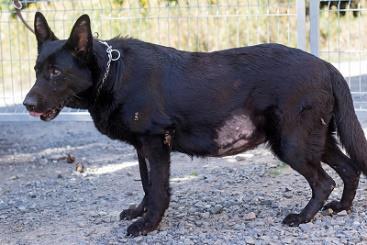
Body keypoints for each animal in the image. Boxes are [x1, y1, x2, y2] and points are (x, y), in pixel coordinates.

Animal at [24, 12, 366, 236]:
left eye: (56, 72)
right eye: (37, 69)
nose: (26, 104)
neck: (113, 72)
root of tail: (326, 65)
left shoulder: (155, 143)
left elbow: (158, 189)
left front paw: (148, 225)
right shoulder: (142, 148)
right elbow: (147, 183)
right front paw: (140, 211)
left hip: (292, 144)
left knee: (324, 181)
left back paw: (304, 217)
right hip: (315, 140)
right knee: (349, 169)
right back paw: (341, 207)